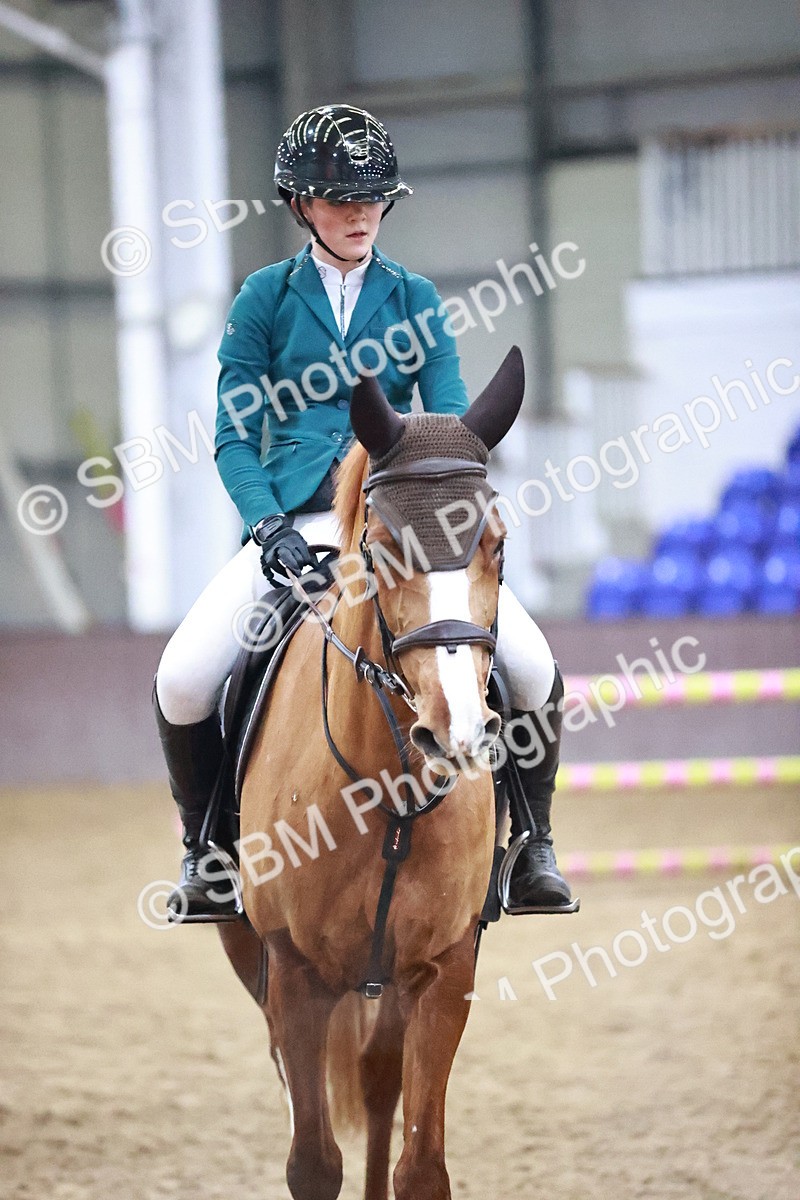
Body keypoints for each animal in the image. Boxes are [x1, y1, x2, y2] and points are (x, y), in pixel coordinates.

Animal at [218, 346, 525, 1200]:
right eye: (384, 548)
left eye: (497, 544)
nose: (457, 732)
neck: (390, 791)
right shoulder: (295, 976)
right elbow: (312, 1160)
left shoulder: (444, 970)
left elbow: (421, 1165)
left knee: (381, 1081)